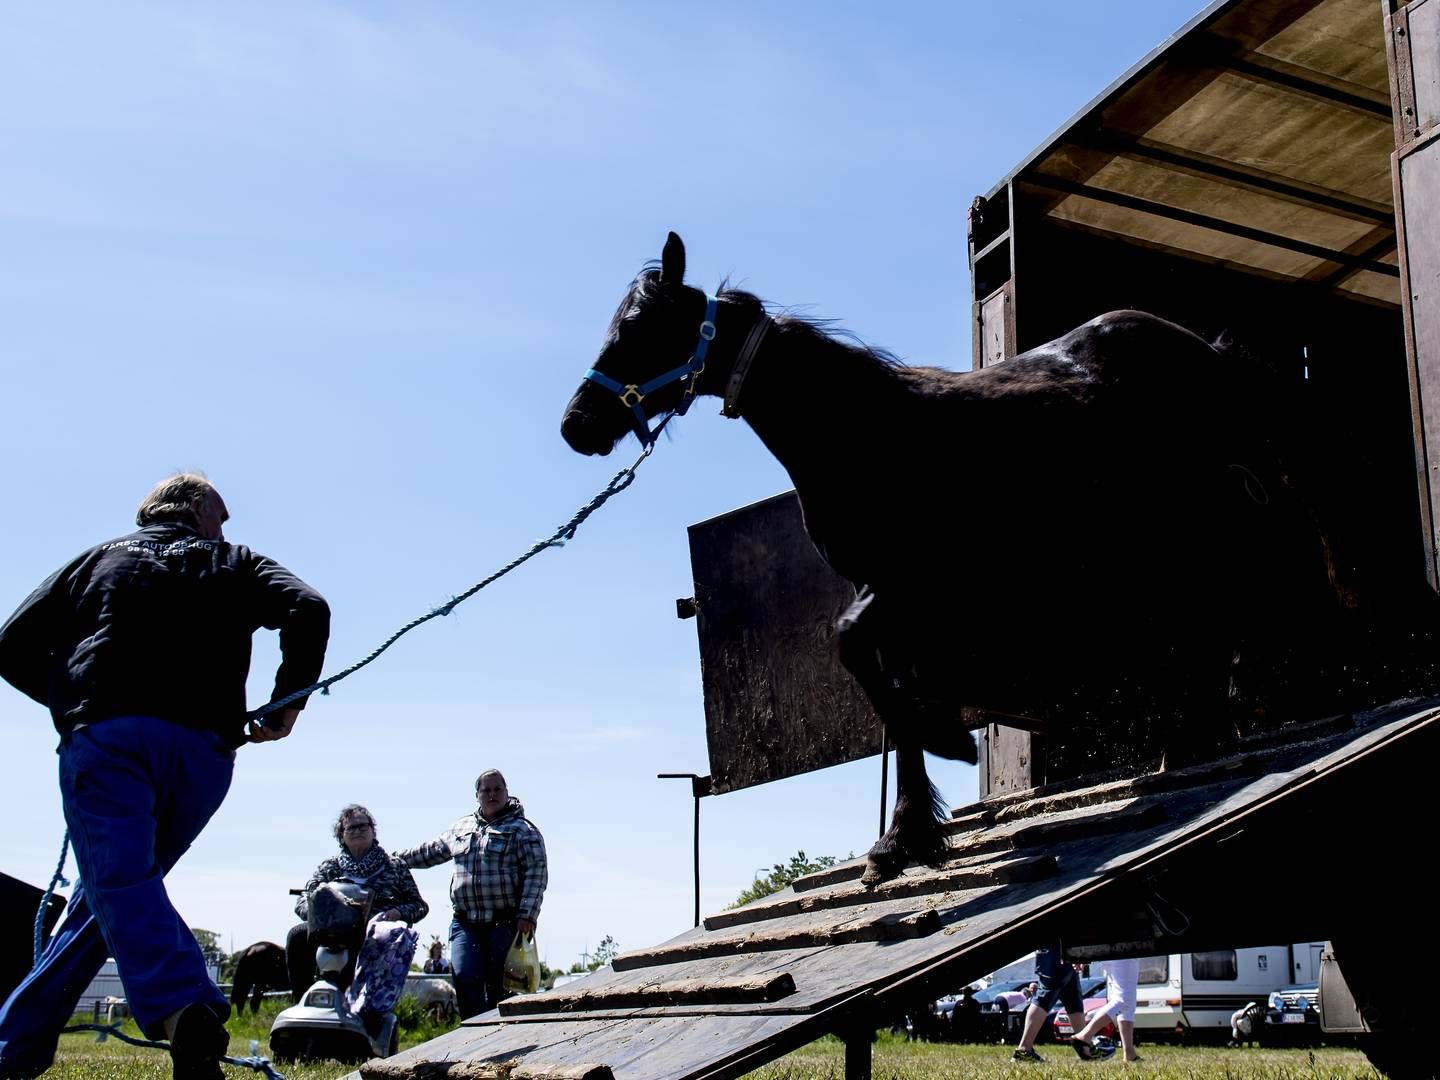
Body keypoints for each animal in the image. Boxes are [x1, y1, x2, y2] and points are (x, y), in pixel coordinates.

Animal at [561, 233, 1440, 881]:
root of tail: (1203, 349)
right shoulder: (895, 590)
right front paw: (912, 821)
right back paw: (1196, 734)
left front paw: (920, 803)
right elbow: (879, 673)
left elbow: (860, 652)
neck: (864, 432)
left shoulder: (920, 582)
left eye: (641, 328)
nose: (577, 425)